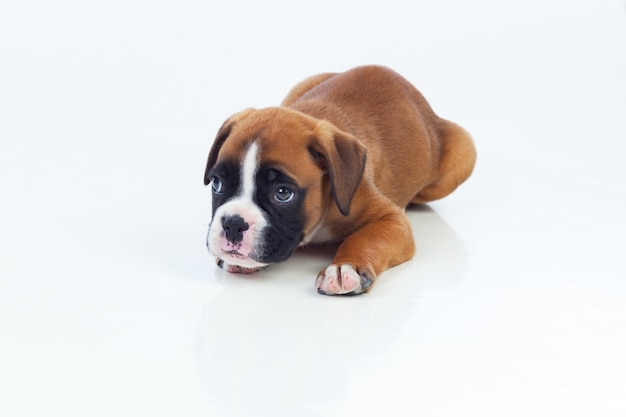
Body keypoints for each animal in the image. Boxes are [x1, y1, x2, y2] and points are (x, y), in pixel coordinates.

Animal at [202, 65, 476, 294]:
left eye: (282, 193)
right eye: (216, 183)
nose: (233, 223)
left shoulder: (392, 220)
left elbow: (366, 238)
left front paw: (347, 267)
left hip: (463, 152)